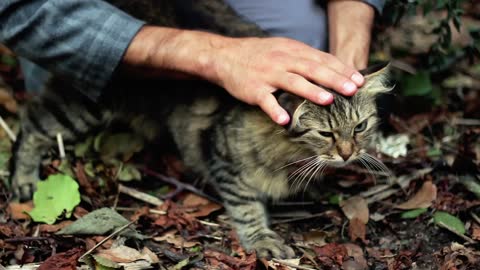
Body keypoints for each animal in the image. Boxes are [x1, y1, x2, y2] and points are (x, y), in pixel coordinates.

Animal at [9, 0, 392, 258]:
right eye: (326, 134)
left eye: (360, 127)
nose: (348, 154)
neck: (289, 151)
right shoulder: (222, 157)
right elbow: (246, 207)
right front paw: (262, 240)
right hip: (83, 103)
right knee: (32, 122)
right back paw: (24, 180)